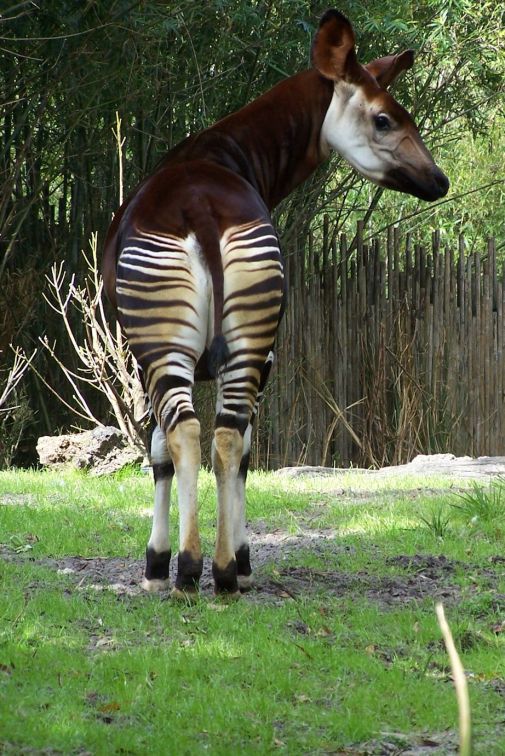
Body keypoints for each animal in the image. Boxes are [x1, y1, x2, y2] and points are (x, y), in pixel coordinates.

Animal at [103, 10, 449, 599]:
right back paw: (215, 570)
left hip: (191, 348)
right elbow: (196, 452)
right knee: (219, 435)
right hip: (232, 346)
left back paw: (199, 568)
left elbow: (172, 453)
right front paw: (186, 563)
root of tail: (201, 209)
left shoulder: (151, 358)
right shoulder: (191, 356)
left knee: (202, 434)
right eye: (384, 119)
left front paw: (162, 563)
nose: (438, 180)